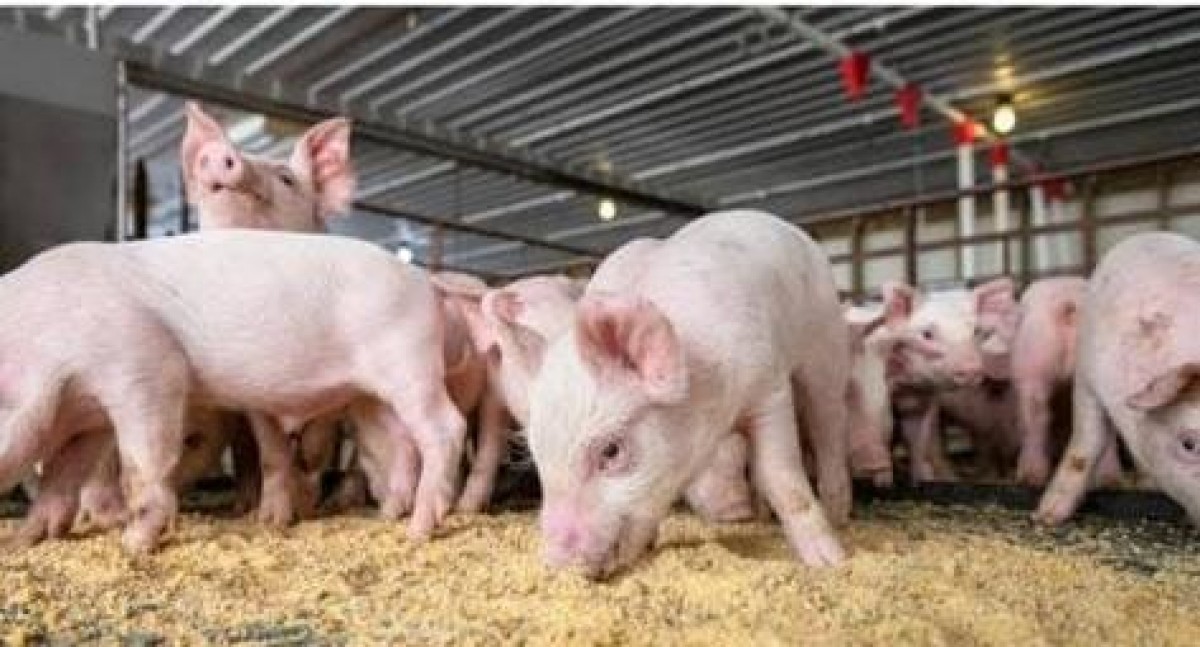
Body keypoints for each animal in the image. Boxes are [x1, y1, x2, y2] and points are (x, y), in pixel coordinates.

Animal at [0, 230, 464, 554]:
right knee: (402, 443)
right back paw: (388, 516)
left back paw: (418, 531)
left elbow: (143, 463)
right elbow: (60, 478)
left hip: (409, 363)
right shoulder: (87, 417)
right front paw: (26, 539)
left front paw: (133, 545)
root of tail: (426, 282)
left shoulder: (147, 368)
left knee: (446, 427)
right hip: (371, 396)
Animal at [525, 210, 849, 578]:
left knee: (829, 426)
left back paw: (839, 518)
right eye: (536, 455)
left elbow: (781, 477)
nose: (555, 560)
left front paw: (830, 563)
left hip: (826, 346)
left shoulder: (769, 388)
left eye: (611, 450)